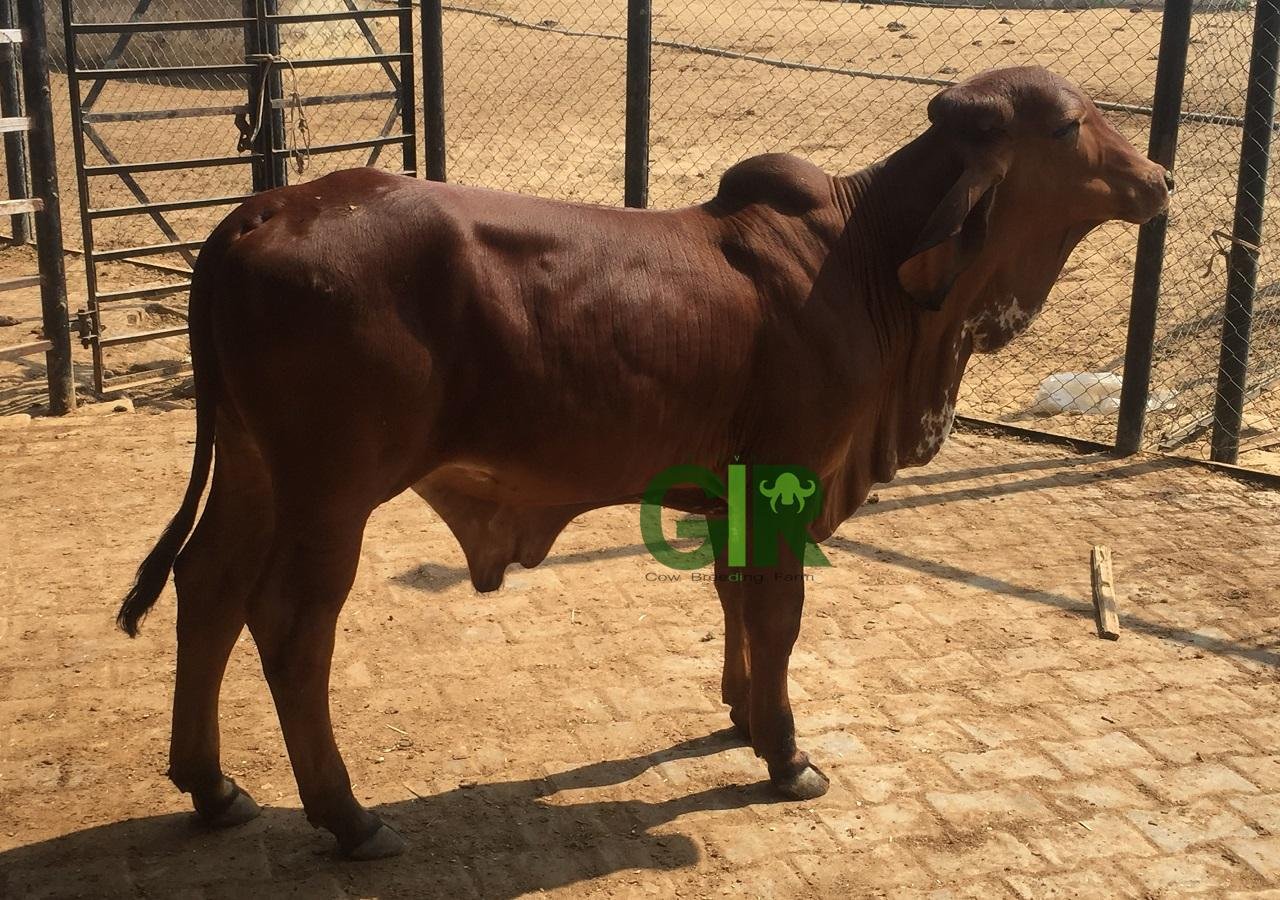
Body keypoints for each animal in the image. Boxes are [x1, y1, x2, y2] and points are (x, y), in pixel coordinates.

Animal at [117, 66, 1170, 859]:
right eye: (1070, 124)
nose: (1158, 178)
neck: (869, 260)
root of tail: (257, 210)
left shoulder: (735, 489)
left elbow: (735, 599)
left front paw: (745, 718)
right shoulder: (786, 479)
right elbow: (777, 614)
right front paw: (788, 757)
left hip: (253, 467)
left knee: (206, 588)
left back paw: (213, 788)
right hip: (331, 494)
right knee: (291, 628)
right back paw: (349, 819)